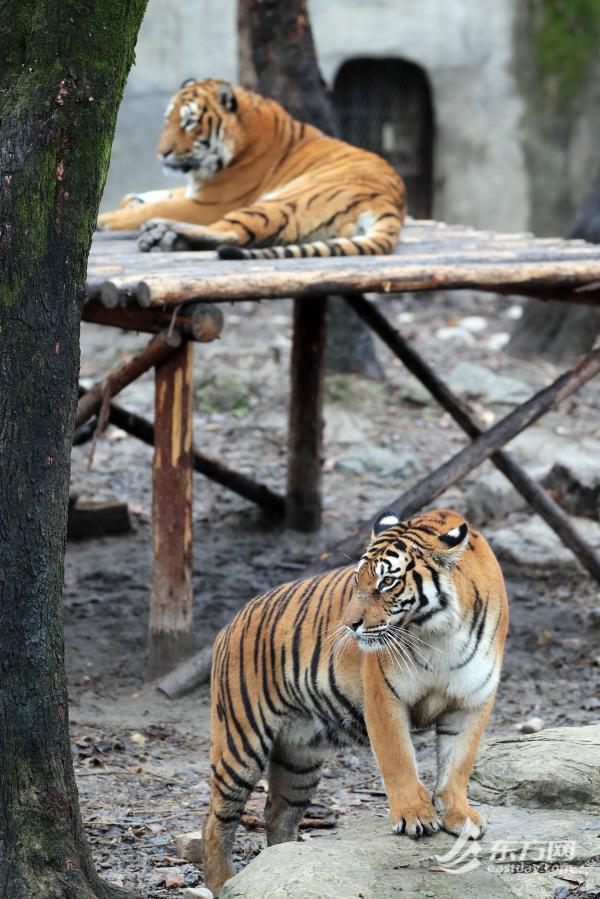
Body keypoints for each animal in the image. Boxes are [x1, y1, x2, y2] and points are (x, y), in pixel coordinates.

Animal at [98, 77, 406, 260]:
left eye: (188, 123)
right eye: (168, 120)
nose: (162, 153)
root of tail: (389, 204)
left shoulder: (208, 204)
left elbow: (152, 207)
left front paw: (105, 219)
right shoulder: (196, 188)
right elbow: (157, 195)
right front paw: (133, 199)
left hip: (281, 202)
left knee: (235, 232)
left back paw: (161, 231)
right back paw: (164, 238)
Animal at [204, 510, 508, 896]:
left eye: (387, 582)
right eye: (357, 580)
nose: (349, 625)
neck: (440, 636)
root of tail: (231, 622)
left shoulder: (471, 702)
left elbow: (458, 765)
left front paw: (459, 816)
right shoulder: (384, 696)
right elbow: (398, 758)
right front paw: (414, 815)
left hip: (300, 758)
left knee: (278, 811)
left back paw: (280, 861)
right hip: (240, 741)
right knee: (217, 819)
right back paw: (222, 883)